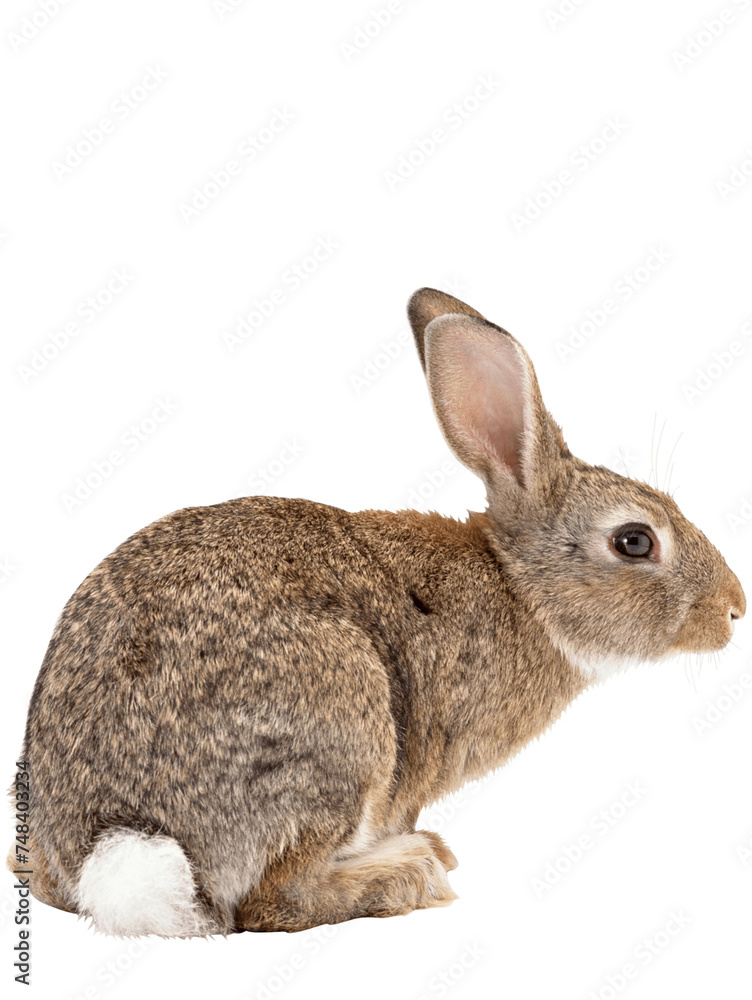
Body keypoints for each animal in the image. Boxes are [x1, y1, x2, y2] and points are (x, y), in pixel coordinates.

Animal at [7, 288, 745, 938]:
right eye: (635, 541)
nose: (735, 608)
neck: (519, 586)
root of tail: (114, 842)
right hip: (344, 727)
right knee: (272, 901)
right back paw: (409, 873)